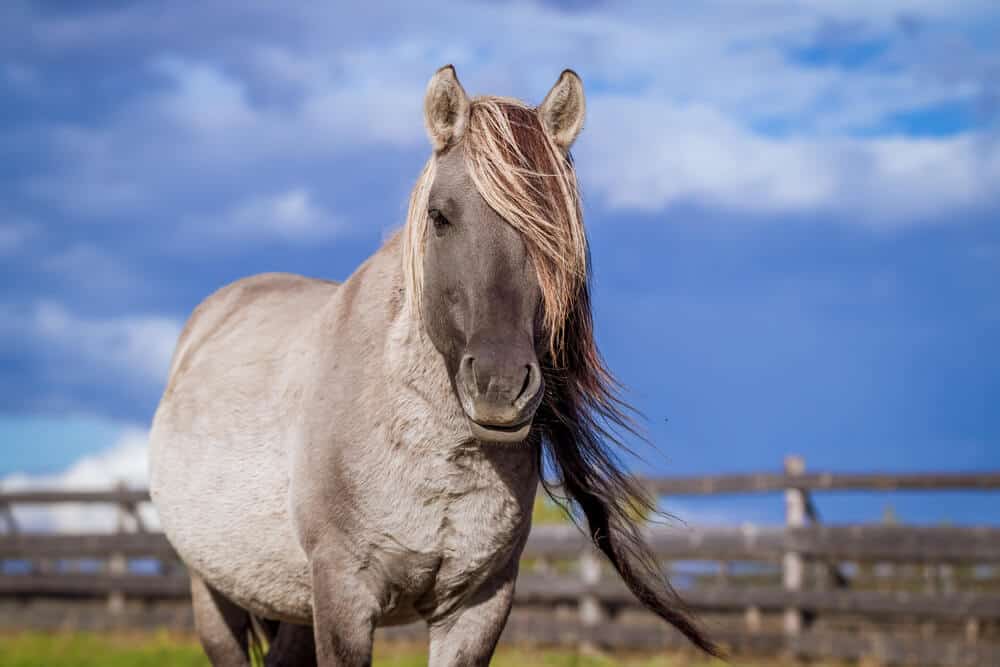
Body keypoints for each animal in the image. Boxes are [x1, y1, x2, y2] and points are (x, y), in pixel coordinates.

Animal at [149, 65, 717, 666]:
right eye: (439, 217)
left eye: (558, 230)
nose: (499, 384)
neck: (438, 457)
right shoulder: (343, 595)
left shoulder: (478, 606)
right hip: (213, 591)